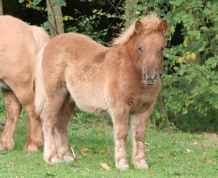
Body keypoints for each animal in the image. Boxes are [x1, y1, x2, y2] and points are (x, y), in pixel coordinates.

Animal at [0, 16, 49, 151]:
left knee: (33, 111)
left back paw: (32, 145)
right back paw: (5, 144)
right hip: (8, 87)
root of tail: (29, 29)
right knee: (13, 112)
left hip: (19, 84)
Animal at [35, 13, 169, 170]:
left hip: (68, 100)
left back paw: (67, 157)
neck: (131, 71)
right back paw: (52, 158)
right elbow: (121, 133)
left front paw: (140, 163)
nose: (150, 77)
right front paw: (122, 163)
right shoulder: (120, 108)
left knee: (61, 124)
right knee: (47, 119)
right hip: (55, 95)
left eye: (162, 48)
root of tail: (49, 44)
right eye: (140, 47)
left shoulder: (144, 110)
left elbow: (139, 135)